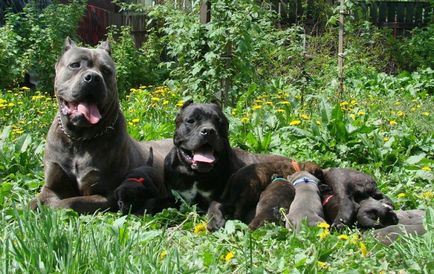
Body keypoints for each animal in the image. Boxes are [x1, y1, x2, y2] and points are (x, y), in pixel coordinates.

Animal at [30, 38, 171, 214]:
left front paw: (52, 208)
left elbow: (70, 203)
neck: (79, 140)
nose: (93, 78)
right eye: (75, 65)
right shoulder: (51, 188)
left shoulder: (106, 195)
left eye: (106, 70)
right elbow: (32, 202)